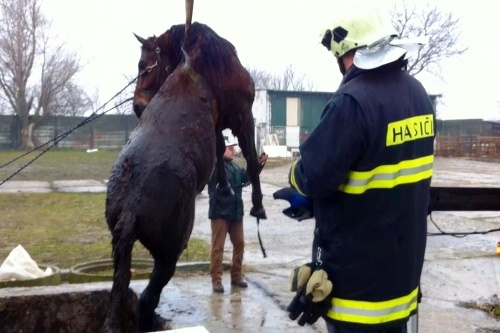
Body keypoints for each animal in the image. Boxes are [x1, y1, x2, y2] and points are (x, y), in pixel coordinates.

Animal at [102, 40, 218, 332]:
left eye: (143, 65)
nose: (137, 105)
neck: (183, 73)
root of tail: (131, 208)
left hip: (120, 243)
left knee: (121, 286)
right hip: (171, 248)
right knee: (149, 295)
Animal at [132, 20, 266, 218]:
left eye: (143, 66)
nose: (137, 107)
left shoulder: (245, 118)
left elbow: (250, 155)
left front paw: (257, 204)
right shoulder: (214, 123)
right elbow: (220, 149)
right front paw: (224, 188)